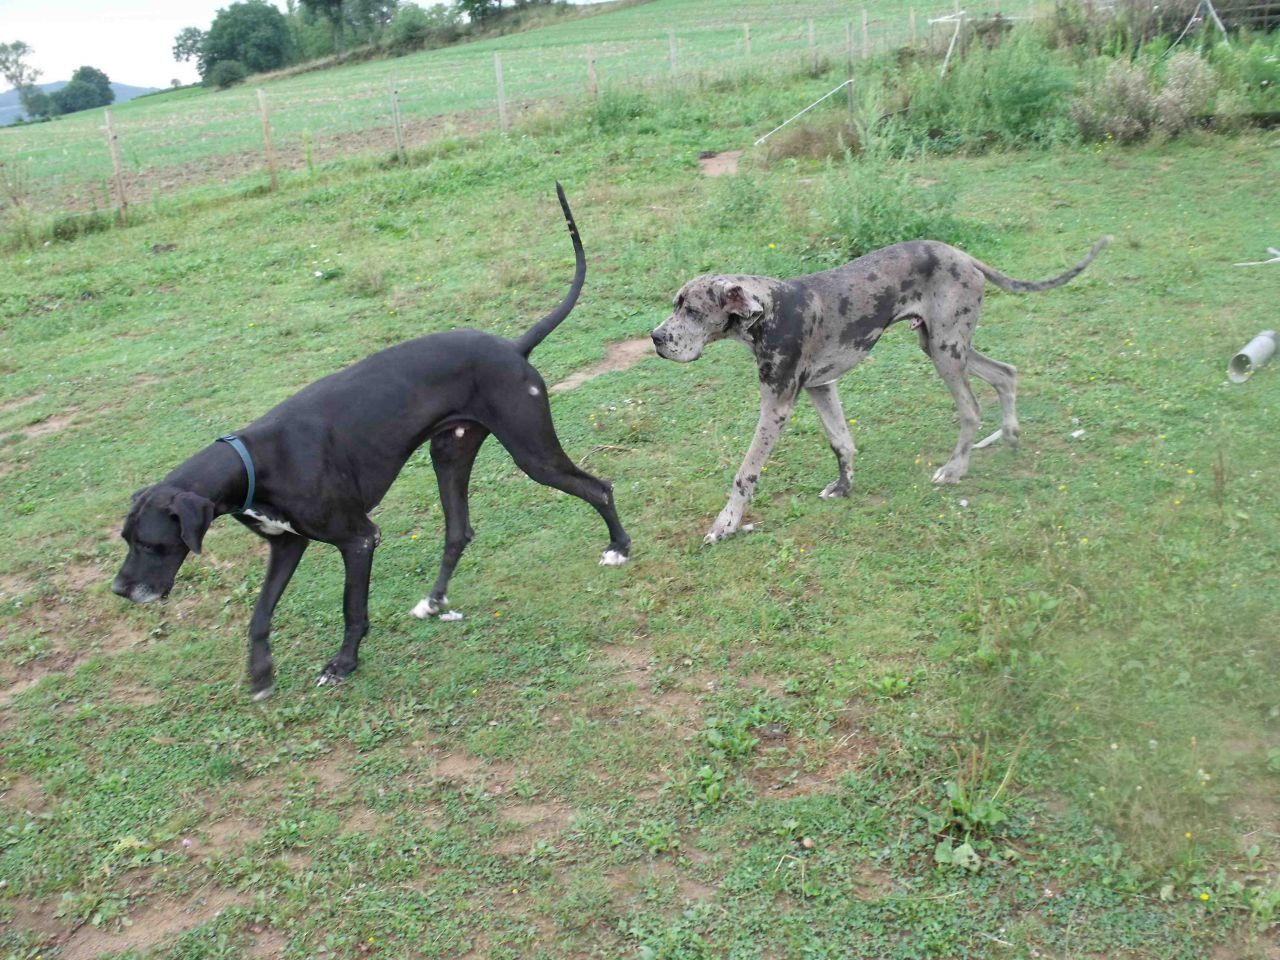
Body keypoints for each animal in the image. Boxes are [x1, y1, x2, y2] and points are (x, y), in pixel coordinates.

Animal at [112, 184, 631, 699]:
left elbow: (352, 609)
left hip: (532, 451)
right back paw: (433, 601)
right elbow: (259, 614)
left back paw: (618, 548)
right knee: (459, 531)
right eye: (127, 538)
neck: (253, 460)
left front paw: (342, 664)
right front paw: (260, 673)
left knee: (598, 487)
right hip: (449, 453)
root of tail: (513, 347)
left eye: (153, 544)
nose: (120, 590)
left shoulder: (359, 539)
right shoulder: (286, 545)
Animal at [650, 236, 1110, 543]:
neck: (769, 310)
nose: (655, 338)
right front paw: (843, 487)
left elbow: (745, 472)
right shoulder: (822, 386)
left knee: (972, 408)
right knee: (1006, 373)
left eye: (692, 311)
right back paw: (1011, 435)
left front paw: (725, 523)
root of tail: (963, 254)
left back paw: (955, 469)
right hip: (942, 344)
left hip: (946, 352)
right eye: (675, 306)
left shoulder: (776, 404)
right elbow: (841, 442)